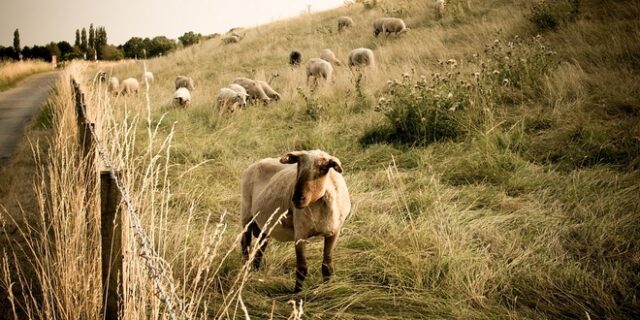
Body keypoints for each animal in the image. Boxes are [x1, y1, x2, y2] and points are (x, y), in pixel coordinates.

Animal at [239, 150, 350, 292]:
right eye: (298, 165)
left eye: (323, 168)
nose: (297, 198)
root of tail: (255, 163)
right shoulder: (300, 234)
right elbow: (302, 268)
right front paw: (297, 293)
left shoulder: (334, 232)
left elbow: (327, 266)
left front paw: (327, 288)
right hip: (246, 213)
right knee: (245, 243)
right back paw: (246, 269)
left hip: (265, 223)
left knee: (261, 245)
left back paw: (256, 269)